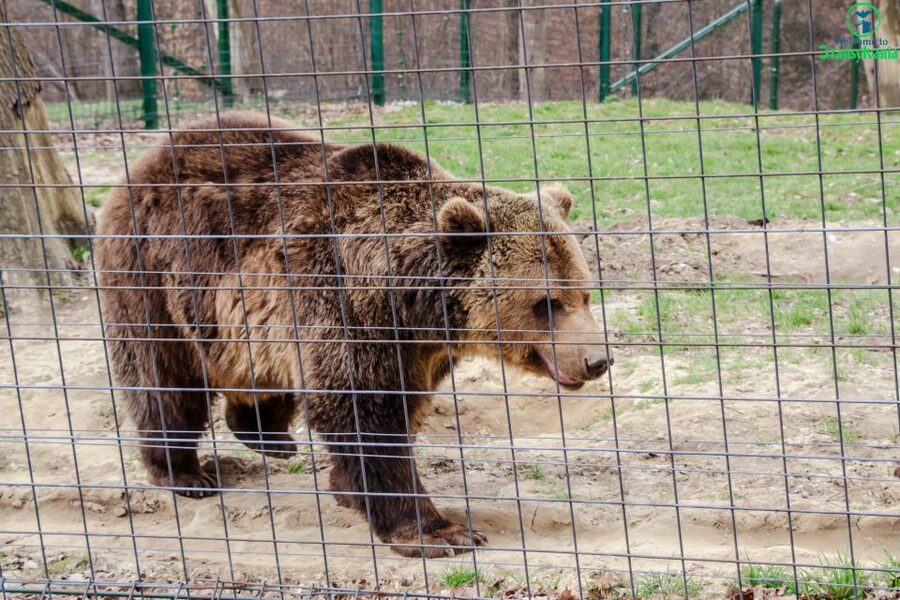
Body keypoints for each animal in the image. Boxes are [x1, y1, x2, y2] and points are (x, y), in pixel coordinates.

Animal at [96, 112, 612, 558]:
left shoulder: (415, 347)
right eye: (547, 303)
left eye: (585, 294)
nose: (596, 360)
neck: (409, 297)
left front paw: (349, 491)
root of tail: (145, 160)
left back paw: (269, 437)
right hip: (154, 274)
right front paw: (438, 532)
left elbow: (396, 406)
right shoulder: (341, 301)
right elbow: (365, 413)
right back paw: (185, 473)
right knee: (163, 376)